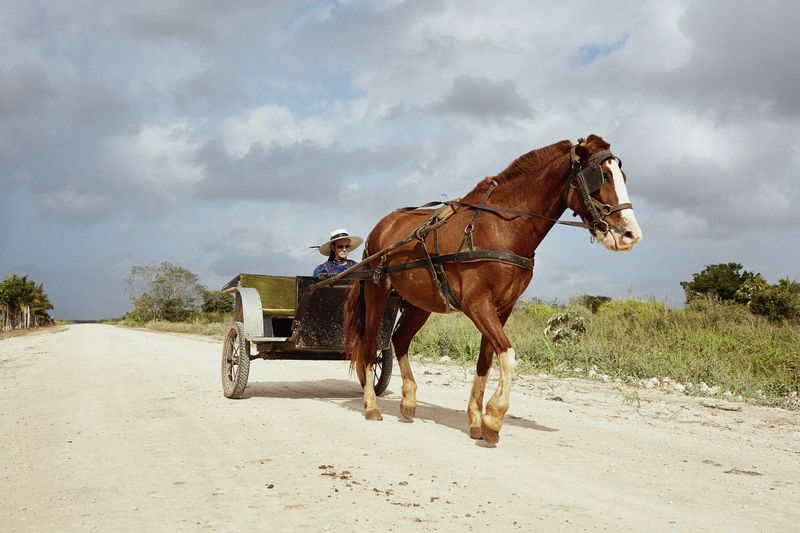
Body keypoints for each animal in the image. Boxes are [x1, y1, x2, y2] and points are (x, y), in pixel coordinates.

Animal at [343, 135, 642, 444]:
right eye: (602, 176)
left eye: (623, 177)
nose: (631, 235)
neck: (501, 227)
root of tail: (382, 227)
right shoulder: (477, 304)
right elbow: (508, 356)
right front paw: (494, 418)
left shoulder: (502, 308)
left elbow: (485, 361)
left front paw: (477, 420)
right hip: (376, 293)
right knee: (369, 345)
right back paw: (371, 405)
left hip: (419, 303)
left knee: (399, 340)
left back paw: (409, 402)